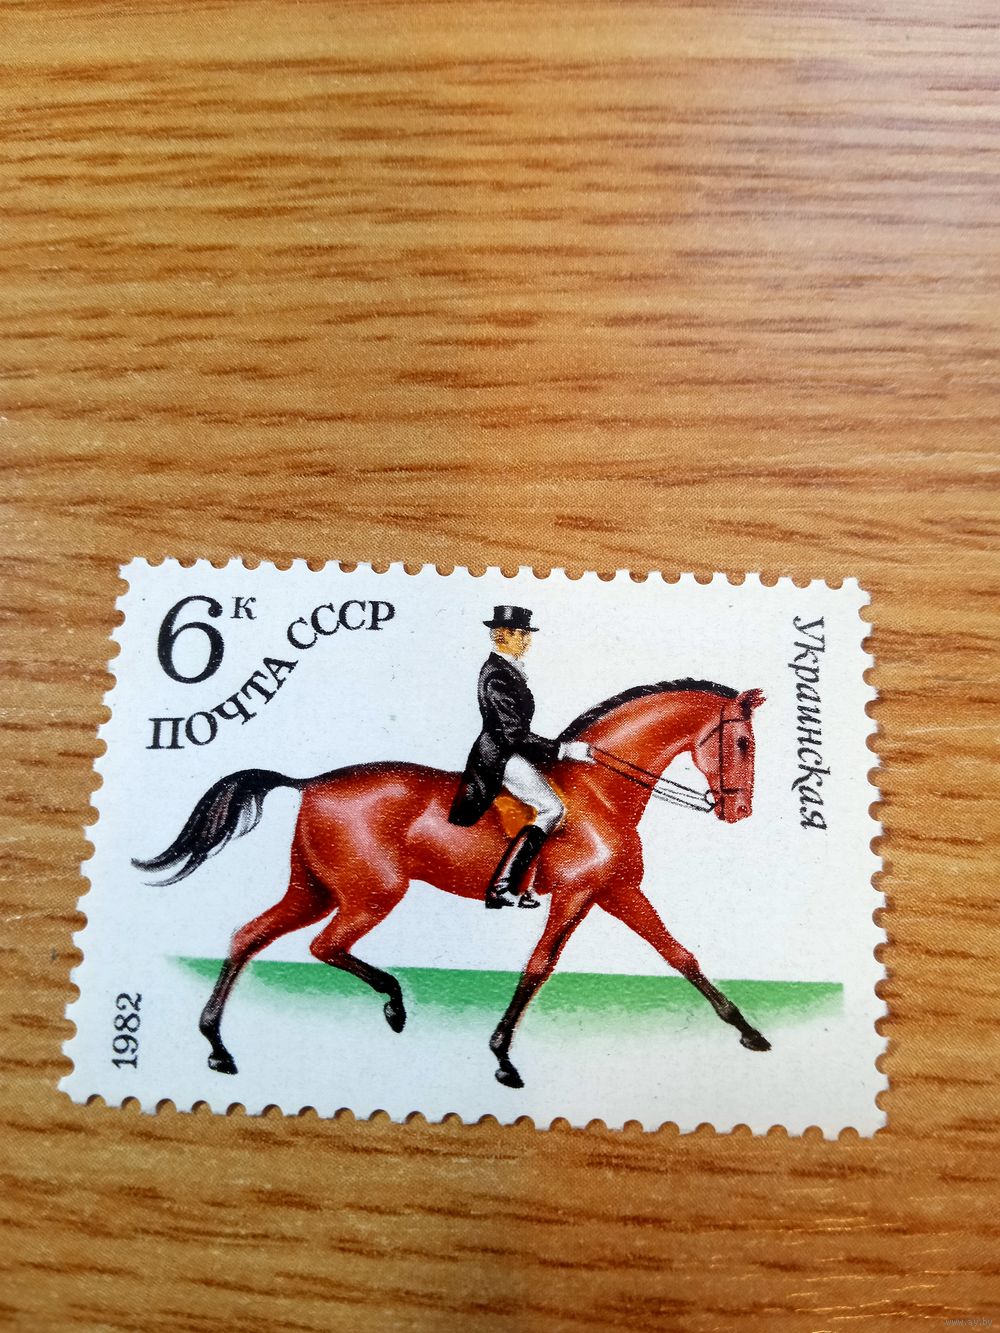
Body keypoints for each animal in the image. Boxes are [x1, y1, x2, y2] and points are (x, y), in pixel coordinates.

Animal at [134, 678, 769, 1090]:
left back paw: (218, 1047)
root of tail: (310, 783)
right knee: (324, 945)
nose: (738, 813)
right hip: (369, 895)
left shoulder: (617, 893)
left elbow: (681, 956)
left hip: (314, 890)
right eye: (741, 742)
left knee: (249, 936)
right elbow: (539, 967)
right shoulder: (576, 897)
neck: (600, 790)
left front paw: (750, 1033)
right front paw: (503, 1059)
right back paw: (393, 1003)